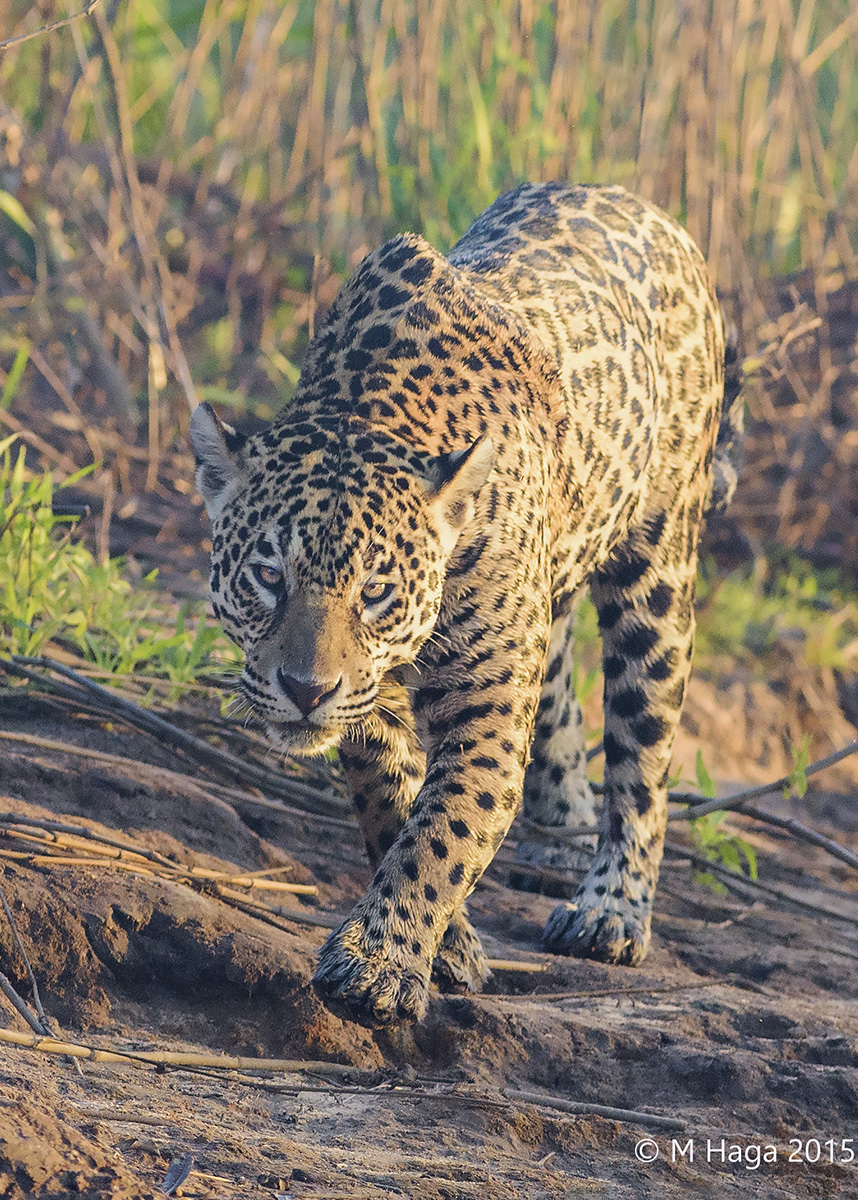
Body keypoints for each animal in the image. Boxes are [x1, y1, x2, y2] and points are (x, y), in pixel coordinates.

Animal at [190, 182, 744, 1027]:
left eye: (375, 593)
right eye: (268, 576)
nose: (305, 690)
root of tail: (643, 206)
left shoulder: (482, 708)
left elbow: (447, 829)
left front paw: (380, 963)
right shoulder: (372, 708)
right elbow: (396, 811)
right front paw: (443, 945)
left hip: (658, 573)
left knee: (643, 761)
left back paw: (611, 911)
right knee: (558, 685)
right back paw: (558, 822)